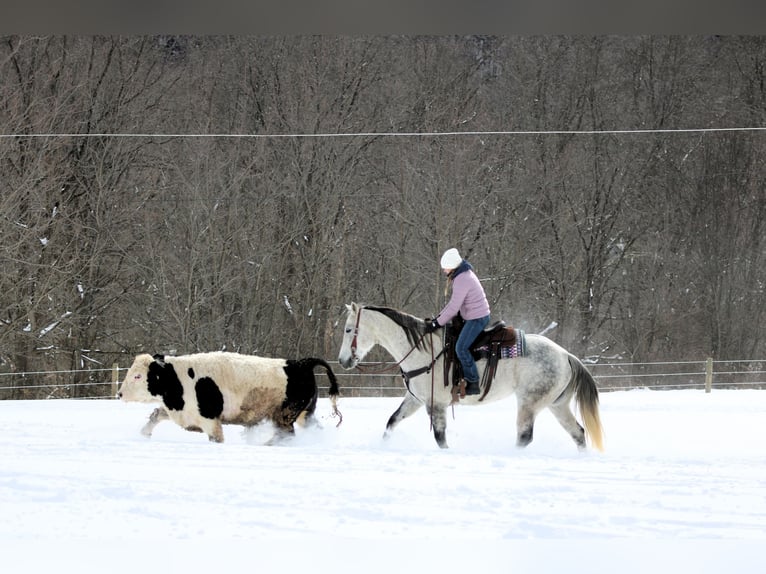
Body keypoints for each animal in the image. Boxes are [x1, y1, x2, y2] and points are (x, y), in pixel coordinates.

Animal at [337, 303, 604, 451]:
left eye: (349, 329)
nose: (343, 361)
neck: (423, 350)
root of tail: (566, 355)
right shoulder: (415, 399)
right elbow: (391, 422)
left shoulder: (436, 404)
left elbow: (440, 437)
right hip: (556, 405)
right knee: (578, 433)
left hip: (529, 403)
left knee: (525, 437)